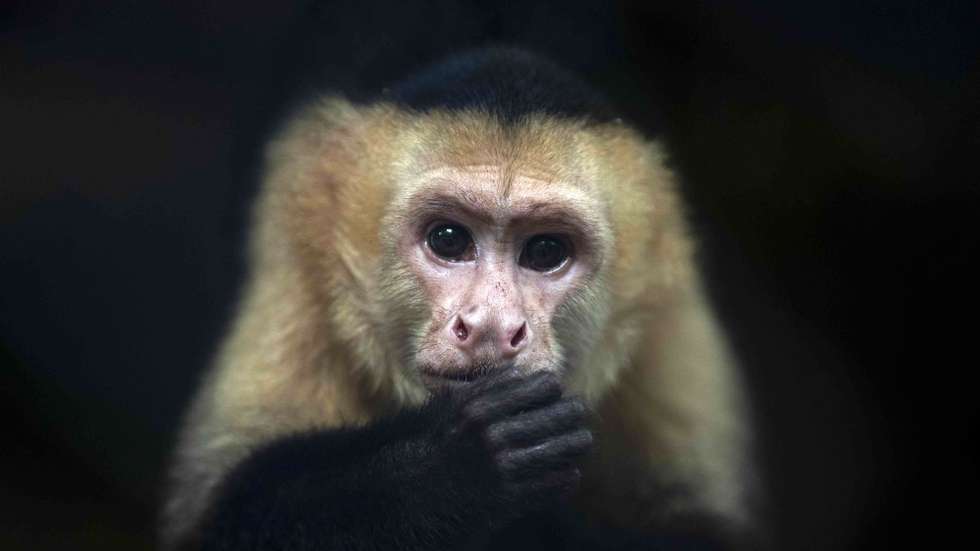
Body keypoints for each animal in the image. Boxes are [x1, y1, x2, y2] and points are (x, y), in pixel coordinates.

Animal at [160, 47, 757, 550]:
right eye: (449, 240)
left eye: (546, 251)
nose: (491, 325)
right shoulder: (303, 271)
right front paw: (454, 467)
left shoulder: (664, 309)